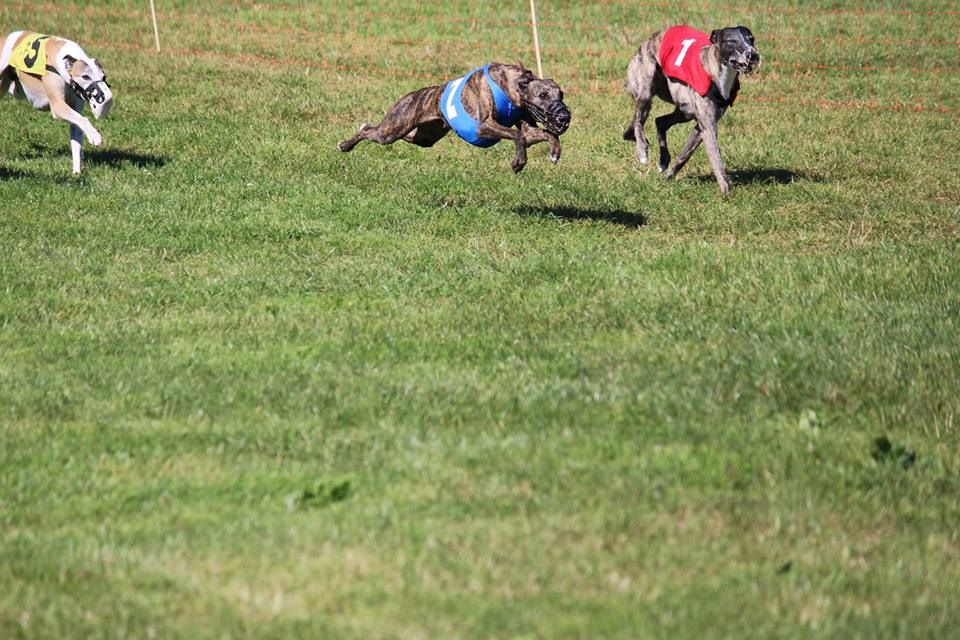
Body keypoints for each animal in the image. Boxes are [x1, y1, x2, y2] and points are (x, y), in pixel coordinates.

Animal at [338, 62, 568, 174]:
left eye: (561, 94)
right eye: (542, 95)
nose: (564, 117)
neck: (511, 85)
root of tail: (412, 95)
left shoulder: (527, 128)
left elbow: (546, 136)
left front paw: (554, 153)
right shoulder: (483, 126)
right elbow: (517, 135)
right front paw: (518, 163)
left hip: (422, 136)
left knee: (382, 130)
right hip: (393, 130)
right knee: (369, 131)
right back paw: (345, 145)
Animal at [624, 26, 764, 192]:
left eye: (751, 39)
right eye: (731, 40)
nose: (753, 54)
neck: (715, 70)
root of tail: (650, 39)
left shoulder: (700, 127)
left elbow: (684, 155)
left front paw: (668, 176)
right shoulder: (708, 127)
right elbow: (717, 160)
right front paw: (726, 191)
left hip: (683, 111)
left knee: (660, 121)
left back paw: (663, 161)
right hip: (646, 91)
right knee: (639, 121)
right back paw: (642, 150)